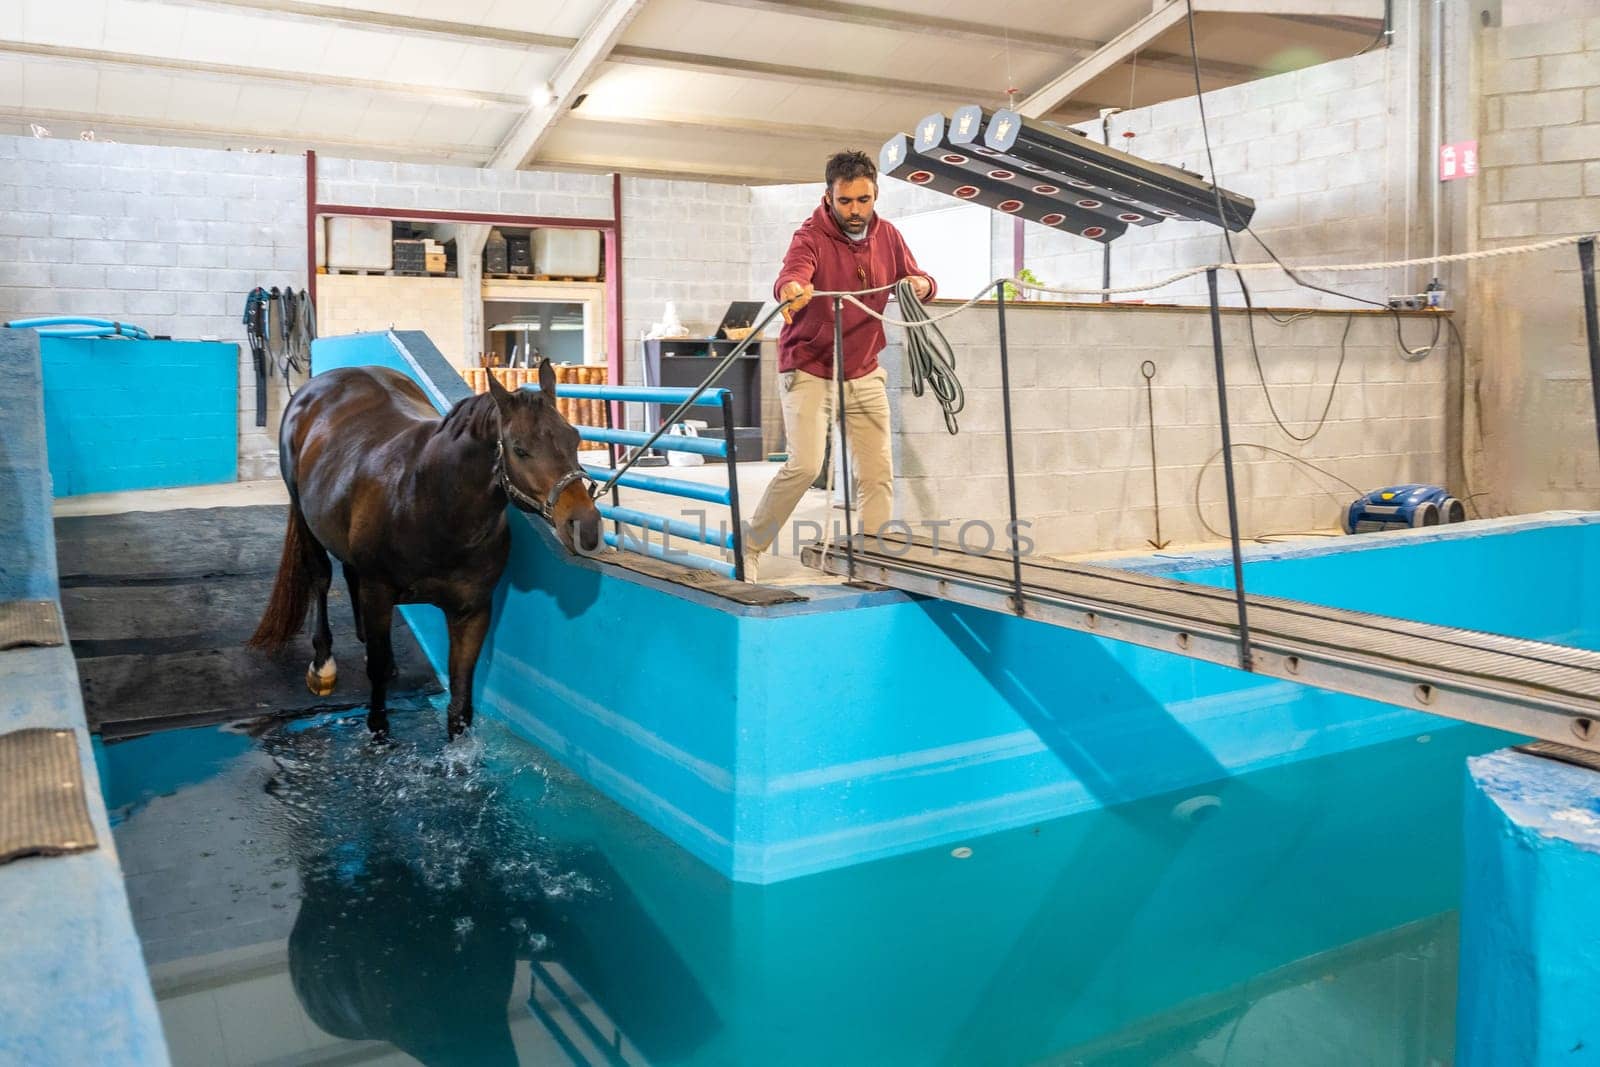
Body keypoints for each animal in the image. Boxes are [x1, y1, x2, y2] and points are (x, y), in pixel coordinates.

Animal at [249, 363, 601, 739]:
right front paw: (378, 733)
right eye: (520, 449)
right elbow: (377, 681)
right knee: (321, 577)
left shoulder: (472, 611)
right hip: (304, 517)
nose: (585, 527)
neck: (428, 499)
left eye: (574, 438)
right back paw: (322, 664)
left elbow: (460, 697)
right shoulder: (378, 592)